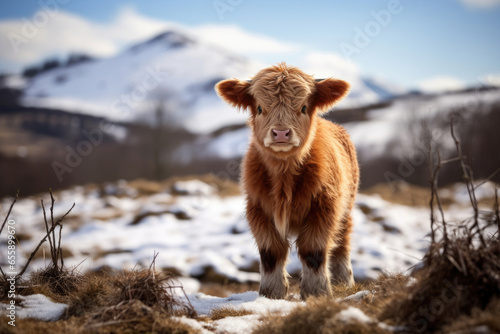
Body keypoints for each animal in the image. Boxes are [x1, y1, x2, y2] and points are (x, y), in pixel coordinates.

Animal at [215, 62, 360, 300]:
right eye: (259, 108)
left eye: (303, 107)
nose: (281, 133)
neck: (284, 178)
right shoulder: (257, 209)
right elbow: (271, 253)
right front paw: (270, 294)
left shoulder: (325, 208)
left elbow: (313, 252)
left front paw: (317, 293)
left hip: (346, 207)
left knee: (342, 243)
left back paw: (344, 284)